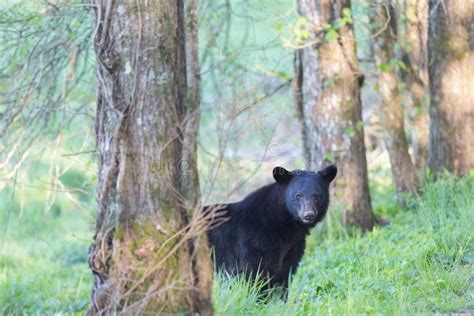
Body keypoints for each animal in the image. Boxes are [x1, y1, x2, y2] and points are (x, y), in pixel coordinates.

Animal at [206, 165, 336, 292]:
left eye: (316, 195)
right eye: (298, 195)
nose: (308, 215)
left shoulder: (292, 250)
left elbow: (284, 278)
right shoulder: (252, 243)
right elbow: (253, 275)